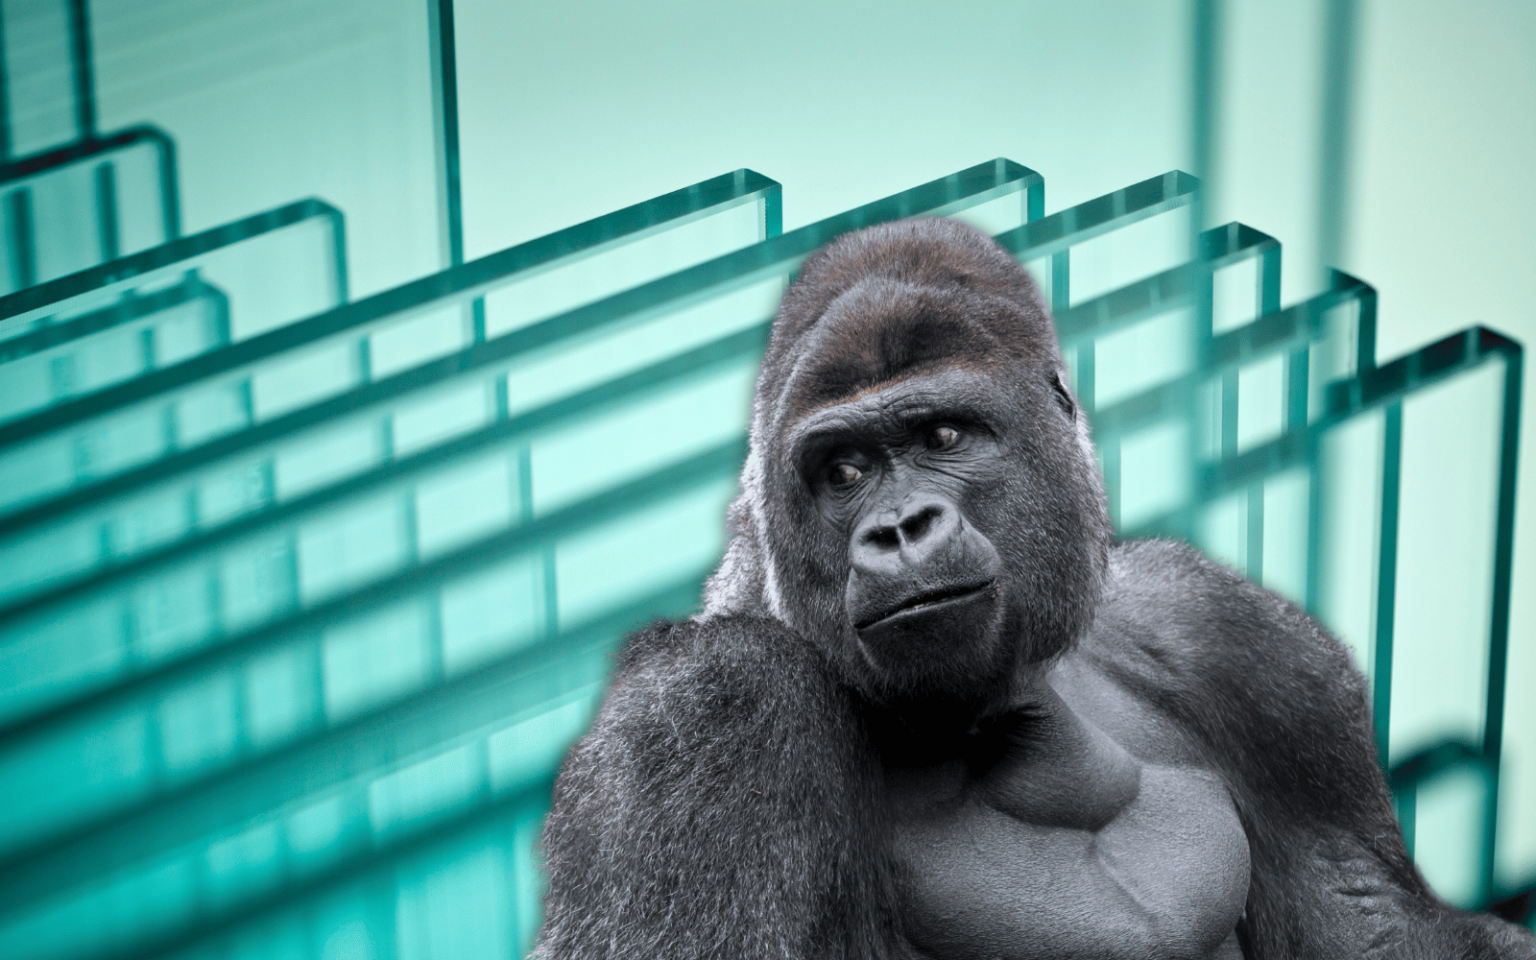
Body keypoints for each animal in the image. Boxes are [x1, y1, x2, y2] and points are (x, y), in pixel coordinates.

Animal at [534, 218, 1535, 959]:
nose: (898, 529)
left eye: (941, 436)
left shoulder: (1232, 639)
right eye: (843, 470)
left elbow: (1378, 926)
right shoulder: (709, 710)